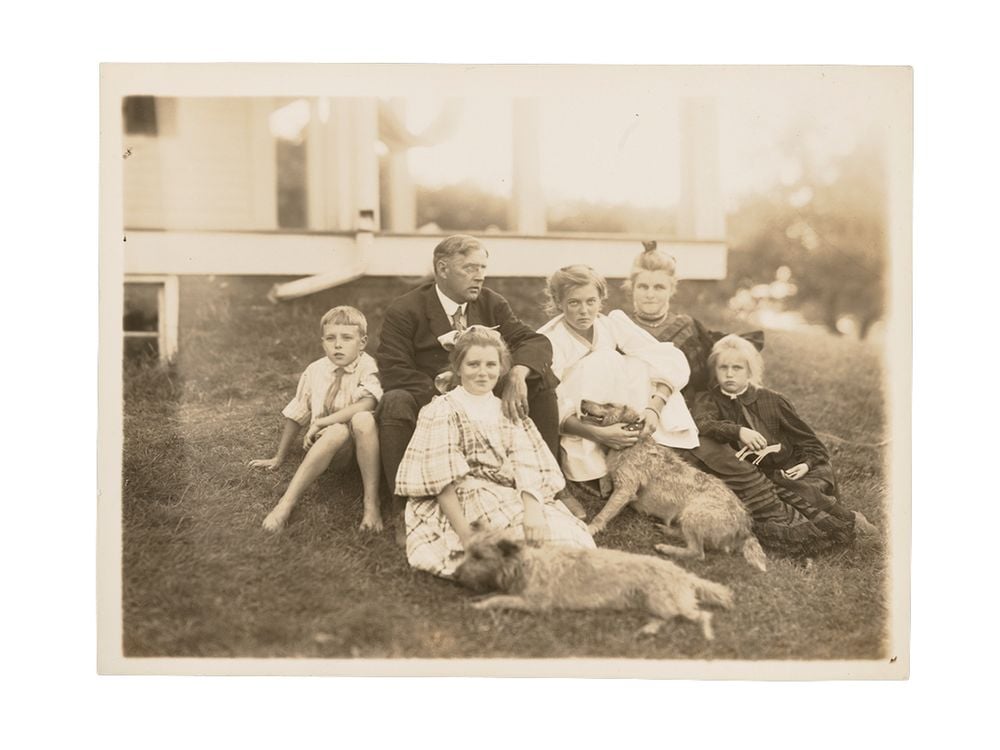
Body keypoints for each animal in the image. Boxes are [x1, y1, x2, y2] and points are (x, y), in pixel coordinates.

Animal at [454, 524, 736, 644]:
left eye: (479, 556)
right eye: (467, 552)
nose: (455, 576)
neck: (524, 565)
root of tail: (683, 573)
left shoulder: (534, 603)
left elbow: (499, 599)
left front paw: (480, 605)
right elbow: (494, 593)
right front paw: (478, 599)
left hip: (663, 599)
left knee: (701, 615)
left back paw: (707, 636)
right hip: (654, 602)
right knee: (666, 618)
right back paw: (647, 630)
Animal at [580, 396, 764, 572]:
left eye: (608, 405)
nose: (582, 400)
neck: (634, 442)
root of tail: (746, 527)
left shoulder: (625, 489)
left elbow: (603, 513)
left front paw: (590, 529)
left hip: (693, 513)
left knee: (698, 553)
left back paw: (666, 548)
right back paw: (667, 530)